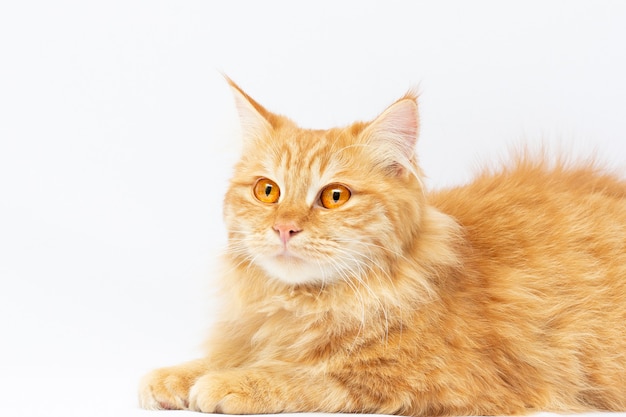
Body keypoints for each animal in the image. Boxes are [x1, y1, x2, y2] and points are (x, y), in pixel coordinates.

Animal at [139, 77, 624, 412]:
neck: (302, 305)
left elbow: (307, 376)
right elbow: (227, 354)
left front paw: (233, 382)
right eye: (267, 191)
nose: (284, 229)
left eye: (335, 197)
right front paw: (175, 375)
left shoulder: (441, 385)